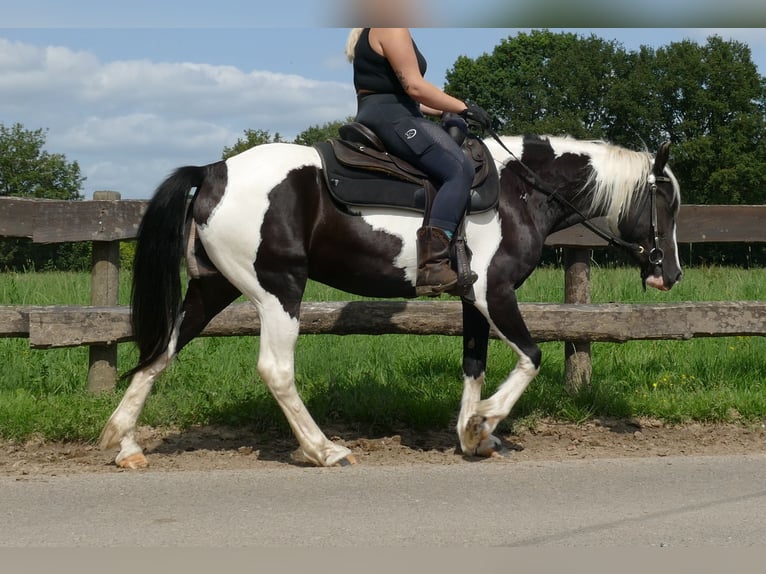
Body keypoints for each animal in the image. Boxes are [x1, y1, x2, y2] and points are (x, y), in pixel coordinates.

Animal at [100, 136, 684, 472]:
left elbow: (473, 363)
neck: (520, 191)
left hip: (213, 288)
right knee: (275, 369)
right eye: (666, 202)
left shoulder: (471, 299)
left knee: (160, 352)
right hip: (279, 289)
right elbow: (531, 357)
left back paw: (123, 444)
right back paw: (325, 449)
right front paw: (485, 423)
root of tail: (215, 171)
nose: (670, 274)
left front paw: (471, 435)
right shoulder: (493, 292)